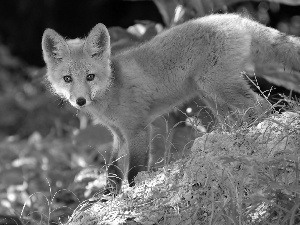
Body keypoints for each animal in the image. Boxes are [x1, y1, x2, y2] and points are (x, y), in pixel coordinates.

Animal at [41, 13, 300, 192]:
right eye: (67, 79)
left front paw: (134, 193)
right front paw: (107, 197)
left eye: (90, 77)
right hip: (210, 95)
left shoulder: (138, 130)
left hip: (217, 85)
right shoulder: (119, 135)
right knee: (239, 118)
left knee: (262, 106)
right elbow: (113, 172)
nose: (80, 101)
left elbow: (134, 172)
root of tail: (237, 18)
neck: (112, 88)